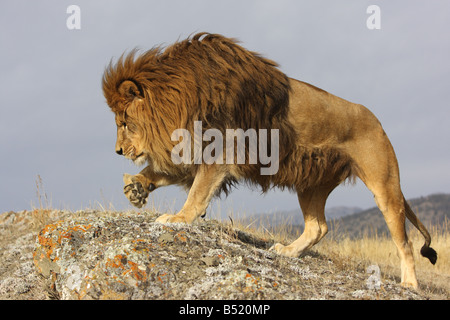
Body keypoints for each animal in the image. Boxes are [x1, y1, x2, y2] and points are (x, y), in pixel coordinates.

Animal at [102, 31, 436, 288]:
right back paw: (287, 252)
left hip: (385, 185)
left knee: (404, 242)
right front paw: (136, 187)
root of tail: (378, 122)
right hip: (311, 184)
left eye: (123, 123)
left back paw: (410, 283)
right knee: (318, 227)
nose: (117, 151)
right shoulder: (192, 150)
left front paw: (178, 219)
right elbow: (159, 170)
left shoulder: (220, 149)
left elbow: (197, 194)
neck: (182, 98)